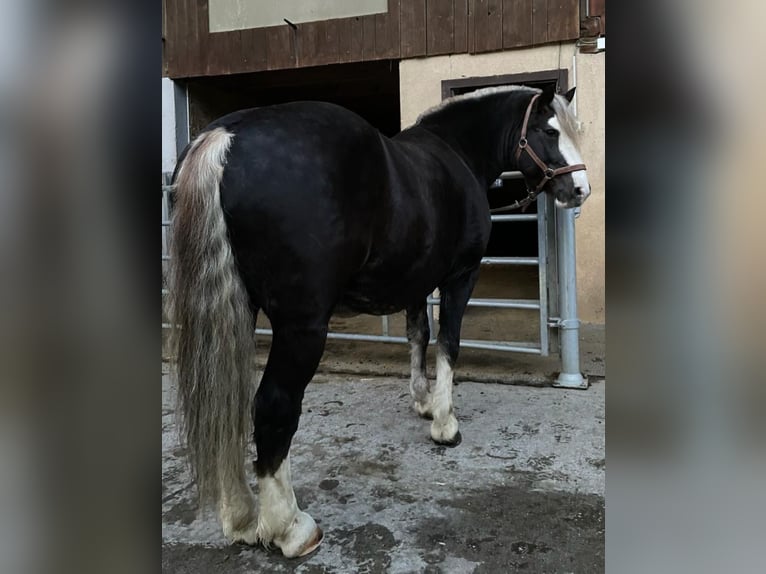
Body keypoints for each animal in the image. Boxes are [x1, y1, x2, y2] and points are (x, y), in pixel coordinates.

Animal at [168, 83, 590, 558]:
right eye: (549, 131)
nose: (579, 188)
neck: (457, 153)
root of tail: (225, 139)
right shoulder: (461, 275)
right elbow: (448, 343)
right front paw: (445, 423)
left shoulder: (417, 280)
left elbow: (418, 334)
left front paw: (423, 402)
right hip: (302, 327)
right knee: (273, 407)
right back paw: (289, 529)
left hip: (237, 311)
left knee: (226, 402)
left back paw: (240, 518)